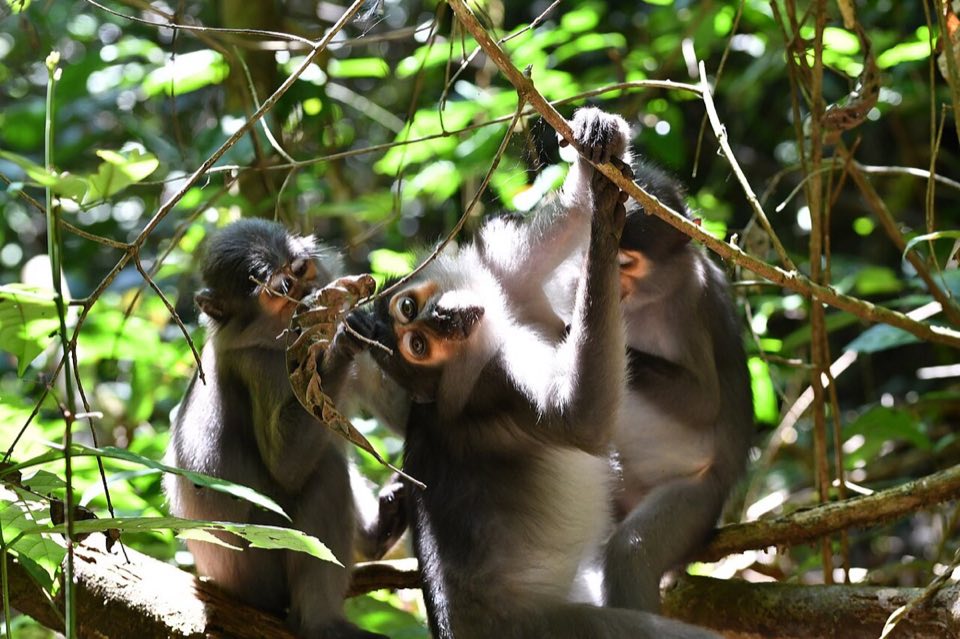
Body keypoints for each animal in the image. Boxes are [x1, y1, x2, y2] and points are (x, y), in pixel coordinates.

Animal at [164, 218, 395, 639]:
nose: (309, 294)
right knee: (326, 471)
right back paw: (320, 623)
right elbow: (285, 468)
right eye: (282, 289)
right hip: (261, 572)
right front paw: (340, 342)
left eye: (301, 270)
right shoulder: (256, 364)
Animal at [343, 112, 721, 639]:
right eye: (418, 347)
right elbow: (580, 418)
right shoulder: (497, 383)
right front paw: (604, 230)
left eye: (409, 310)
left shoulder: (503, 285)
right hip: (560, 625)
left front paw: (596, 157)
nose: (443, 320)